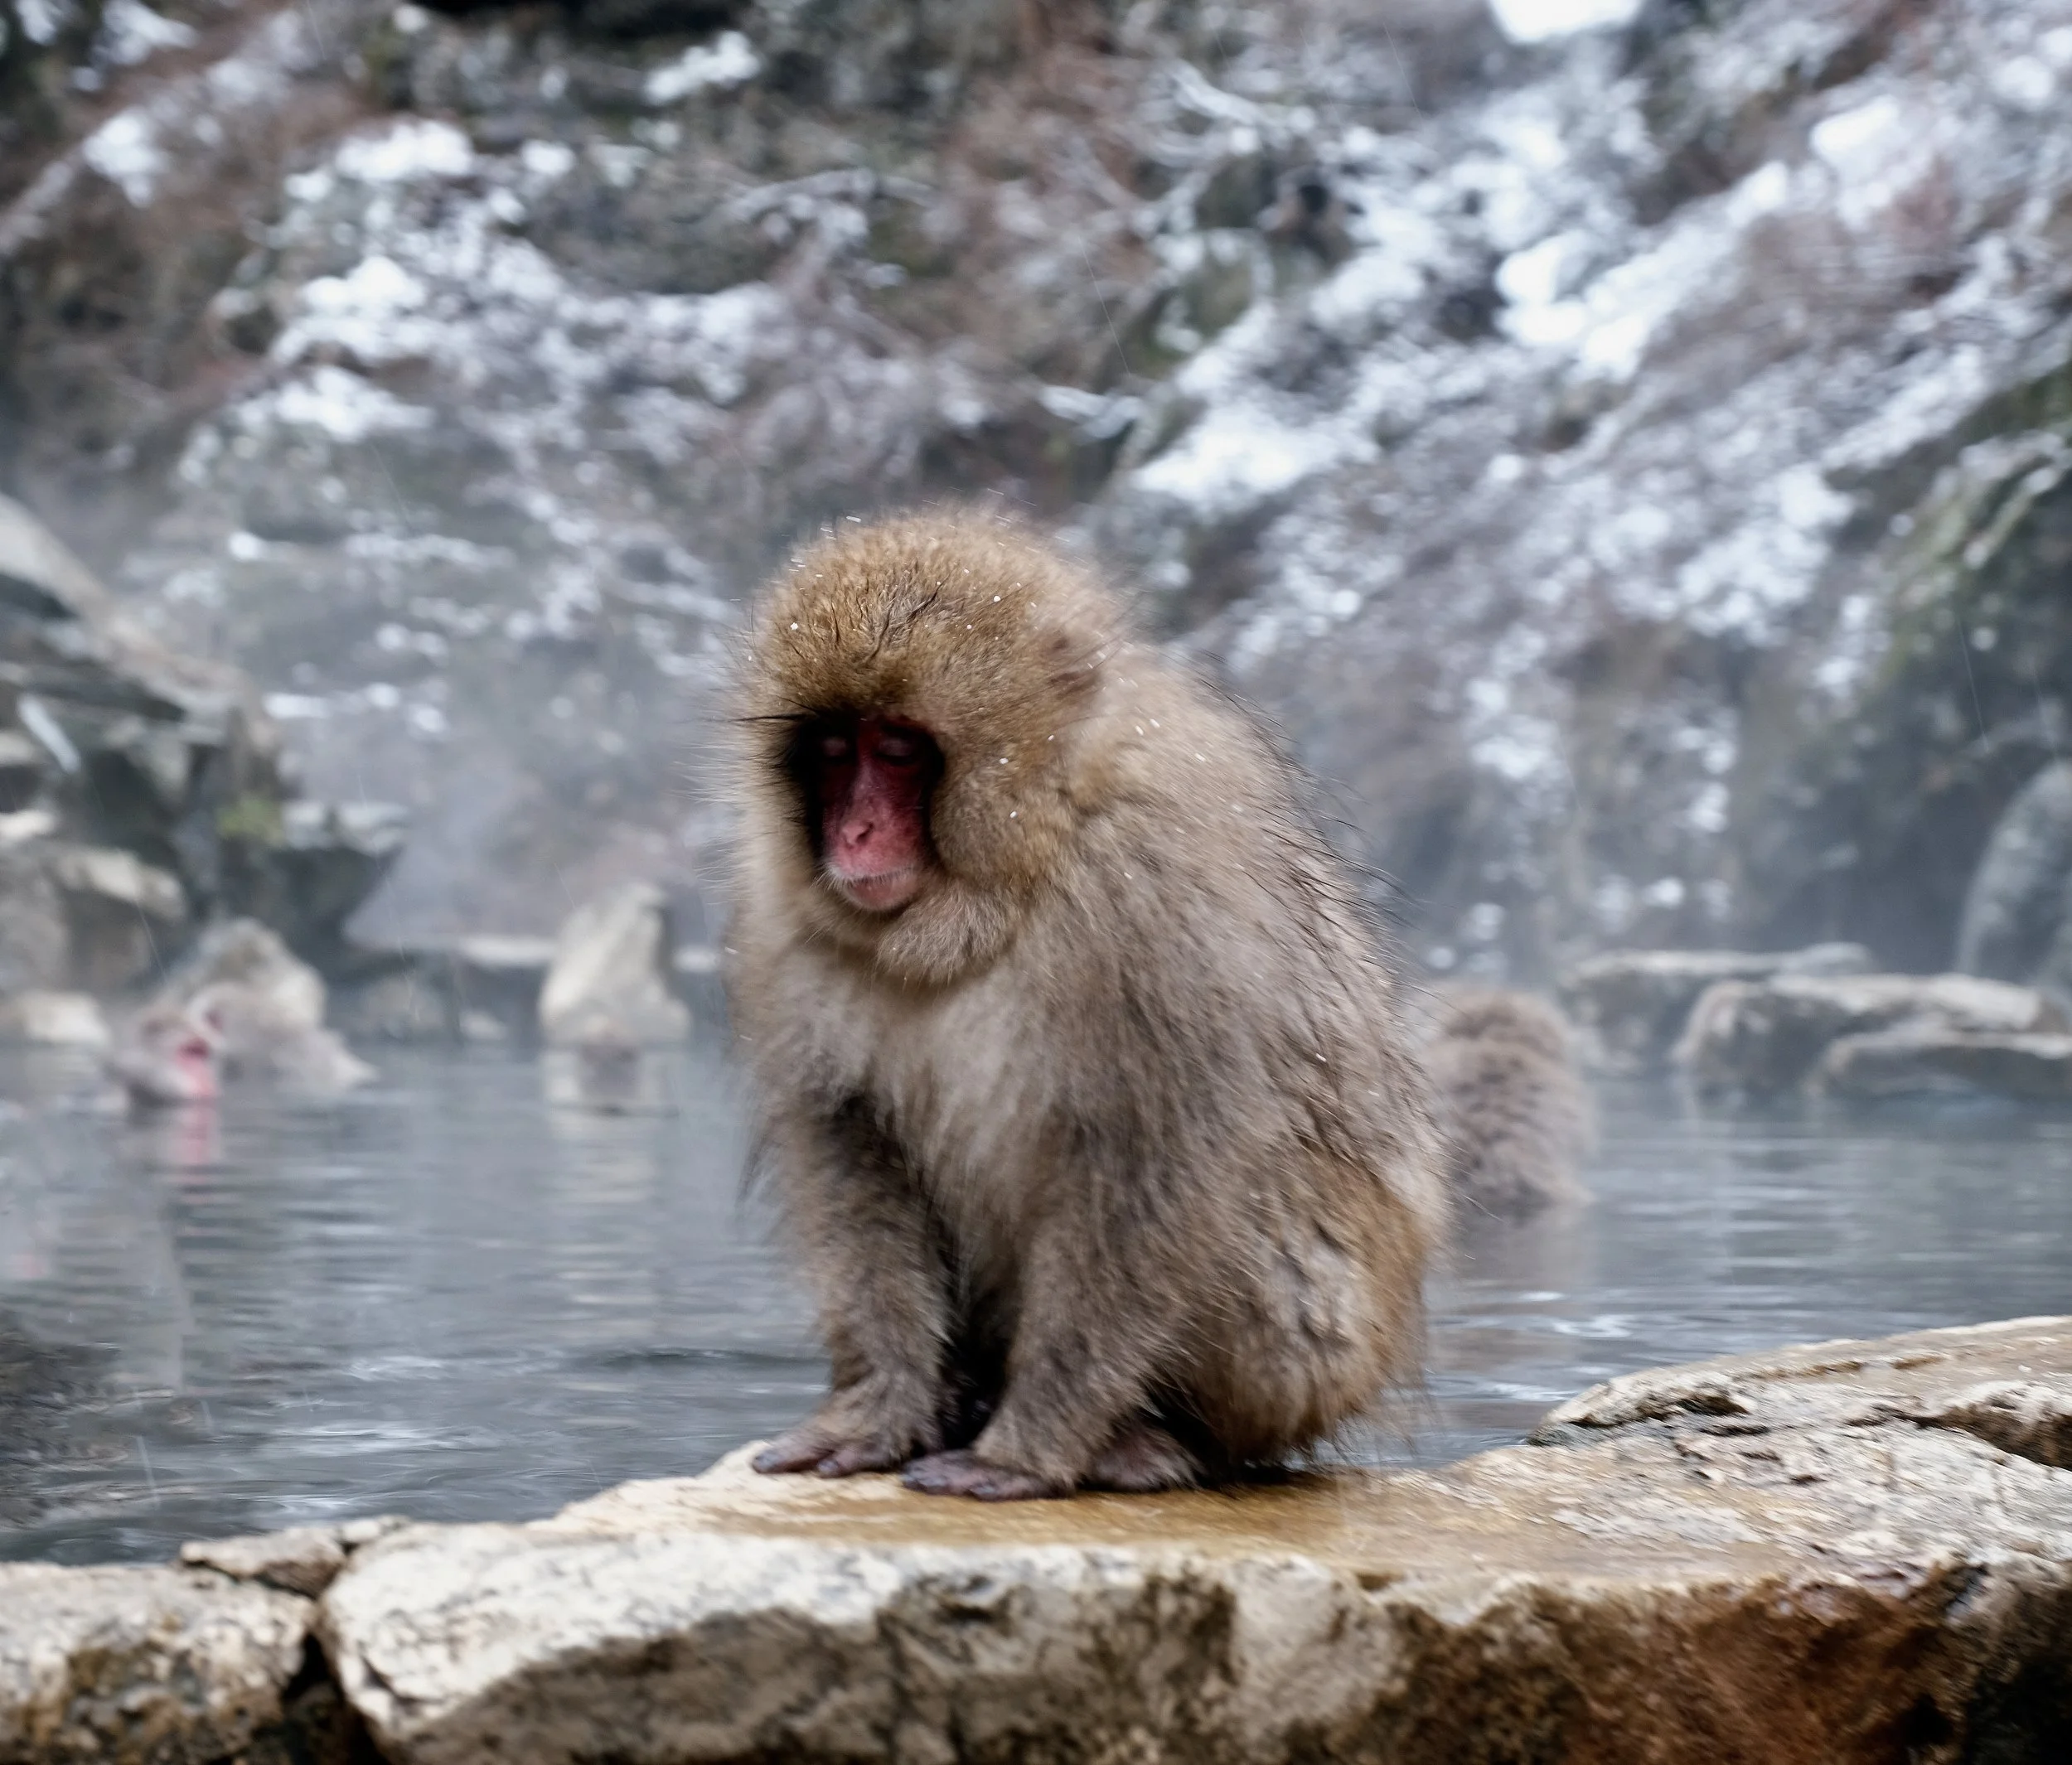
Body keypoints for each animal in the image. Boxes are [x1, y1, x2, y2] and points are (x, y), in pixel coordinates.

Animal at [725, 511, 1449, 1500]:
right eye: (835, 751)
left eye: (899, 749)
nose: (856, 834)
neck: (1010, 882)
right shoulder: (785, 927)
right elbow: (851, 1146)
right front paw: (876, 1409)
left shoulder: (1152, 887)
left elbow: (1150, 1161)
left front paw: (1028, 1448)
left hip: (1321, 1349)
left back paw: (1147, 1440)